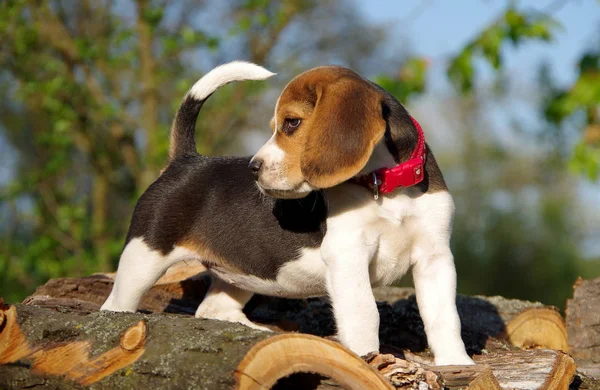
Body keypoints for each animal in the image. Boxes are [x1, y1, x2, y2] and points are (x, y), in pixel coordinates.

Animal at [99, 61, 474, 366]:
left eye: (291, 123)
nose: (253, 167)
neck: (389, 188)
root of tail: (186, 160)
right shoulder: (348, 254)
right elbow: (365, 312)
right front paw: (368, 358)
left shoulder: (435, 256)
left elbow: (445, 316)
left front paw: (456, 363)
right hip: (143, 256)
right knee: (114, 305)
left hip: (241, 270)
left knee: (213, 309)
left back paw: (261, 332)